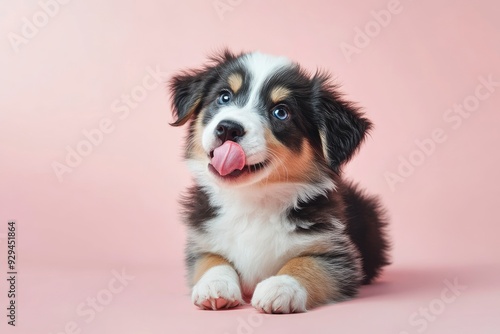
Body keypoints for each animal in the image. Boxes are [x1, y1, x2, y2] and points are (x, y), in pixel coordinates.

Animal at [170, 49, 388, 314]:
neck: (252, 199)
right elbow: (212, 260)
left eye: (281, 112)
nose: (228, 129)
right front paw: (214, 285)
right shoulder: (201, 241)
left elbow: (307, 264)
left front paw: (281, 287)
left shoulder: (338, 255)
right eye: (224, 97)